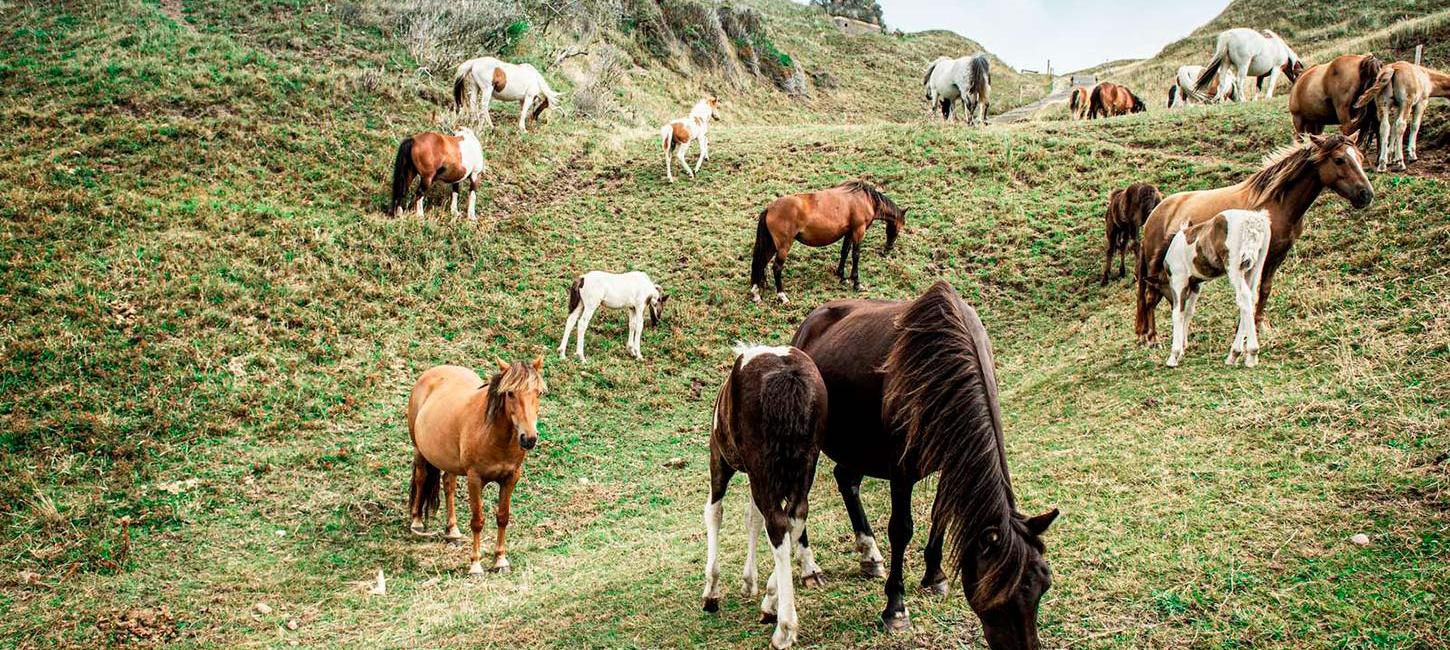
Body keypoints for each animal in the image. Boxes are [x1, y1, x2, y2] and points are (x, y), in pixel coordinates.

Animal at [406, 358, 545, 577]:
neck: (492, 435)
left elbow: (503, 517)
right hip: (419, 450)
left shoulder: (511, 478)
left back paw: (452, 531)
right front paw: (475, 565)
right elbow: (477, 521)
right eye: (510, 393)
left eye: (539, 392)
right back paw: (417, 523)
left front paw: (500, 561)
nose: (529, 438)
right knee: (421, 478)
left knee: (448, 484)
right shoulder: (475, 479)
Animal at [701, 342, 829, 647]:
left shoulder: (719, 459)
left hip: (761, 469)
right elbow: (753, 518)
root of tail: (789, 375)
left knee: (778, 524)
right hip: (804, 464)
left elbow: (714, 512)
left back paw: (784, 628)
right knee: (796, 516)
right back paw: (772, 602)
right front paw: (751, 582)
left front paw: (711, 590)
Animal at [748, 179, 904, 304]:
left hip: (771, 245)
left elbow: (844, 252)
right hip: (783, 247)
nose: (888, 249)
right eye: (898, 229)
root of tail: (769, 209)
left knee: (760, 263)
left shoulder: (848, 232)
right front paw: (857, 283)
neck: (864, 198)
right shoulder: (858, 231)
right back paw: (782, 296)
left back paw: (756, 294)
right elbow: (855, 255)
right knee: (776, 268)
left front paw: (842, 277)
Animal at [788, 281, 1061, 641]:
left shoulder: (951, 456)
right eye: (996, 593)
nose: (1023, 646)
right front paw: (896, 607)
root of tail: (807, 326)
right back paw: (810, 568)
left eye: (1043, 585)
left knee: (846, 480)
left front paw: (935, 576)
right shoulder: (901, 468)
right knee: (798, 500)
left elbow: (940, 514)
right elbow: (901, 529)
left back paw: (870, 554)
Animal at [1160, 210, 1276, 368]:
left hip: (1234, 266)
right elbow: (1189, 312)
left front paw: (1174, 355)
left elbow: (1178, 313)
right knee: (1250, 299)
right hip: (1256, 266)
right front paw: (1183, 348)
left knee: (1243, 297)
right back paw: (1234, 355)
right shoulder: (1196, 284)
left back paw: (1251, 353)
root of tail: (1253, 220)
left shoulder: (1179, 280)